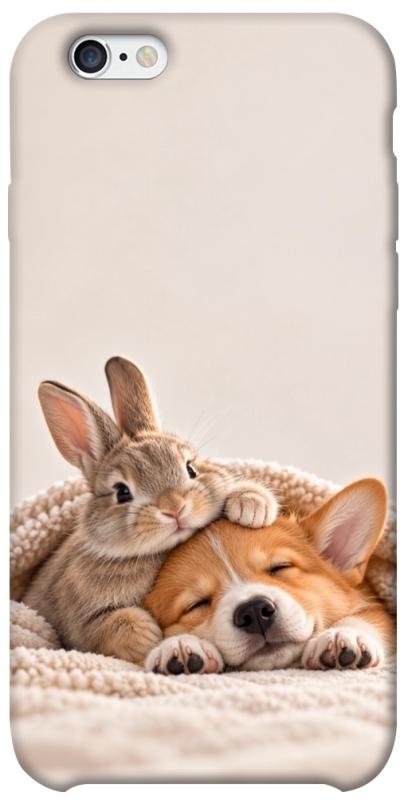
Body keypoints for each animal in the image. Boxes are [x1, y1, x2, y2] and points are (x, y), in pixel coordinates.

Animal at [23, 356, 279, 664]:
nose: (174, 508)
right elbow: (114, 626)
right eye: (122, 492)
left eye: (191, 469)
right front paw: (150, 638)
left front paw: (252, 505)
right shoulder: (80, 623)